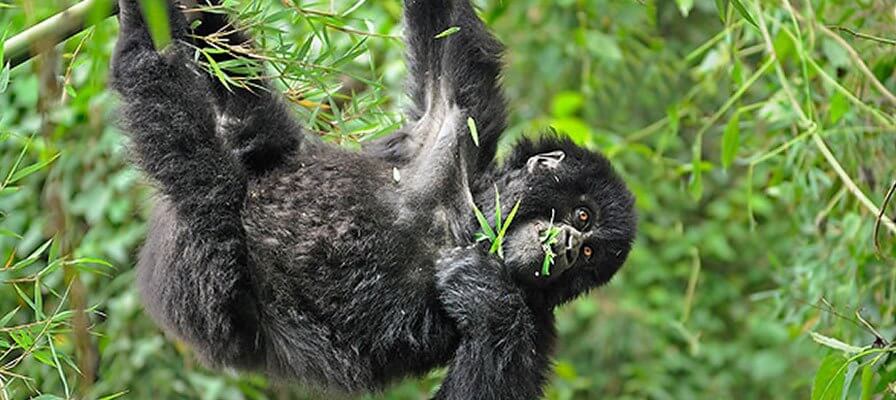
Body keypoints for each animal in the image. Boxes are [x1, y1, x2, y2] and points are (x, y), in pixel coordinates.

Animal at [110, 0, 636, 399]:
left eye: (590, 253)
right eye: (582, 215)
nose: (568, 247)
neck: (465, 225)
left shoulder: (539, 325)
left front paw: (487, 299)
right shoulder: (453, 124)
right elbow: (446, 29)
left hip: (201, 275)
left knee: (202, 176)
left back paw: (144, 44)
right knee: (249, 118)